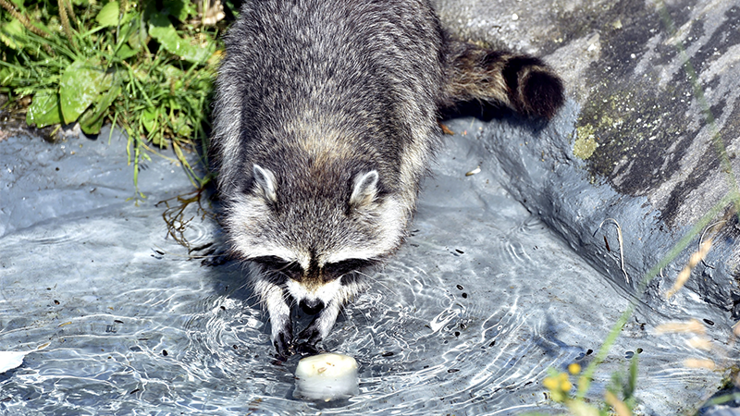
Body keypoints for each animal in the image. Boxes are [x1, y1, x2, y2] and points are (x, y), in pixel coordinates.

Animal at [211, 0, 564, 358]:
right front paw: (275, 302)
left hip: (418, 76)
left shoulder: (393, 168)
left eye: (335, 265)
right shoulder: (240, 158)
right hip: (237, 61)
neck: (316, 150)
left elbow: (383, 239)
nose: (311, 305)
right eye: (292, 264)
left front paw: (333, 306)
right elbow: (245, 236)